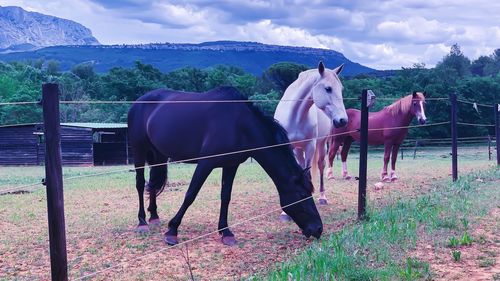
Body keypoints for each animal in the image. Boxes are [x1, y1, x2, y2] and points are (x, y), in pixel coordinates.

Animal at [129, 86, 322, 245]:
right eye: (302, 194)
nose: (318, 229)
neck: (239, 125)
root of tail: (138, 101)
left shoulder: (231, 165)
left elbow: (225, 196)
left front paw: (226, 232)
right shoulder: (206, 163)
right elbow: (190, 194)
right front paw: (172, 231)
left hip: (159, 154)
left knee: (152, 183)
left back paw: (154, 216)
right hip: (139, 149)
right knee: (140, 184)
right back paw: (142, 222)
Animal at [274, 61, 348, 212]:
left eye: (341, 89)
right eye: (328, 88)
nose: (343, 120)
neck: (295, 116)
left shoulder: (310, 146)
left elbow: (307, 173)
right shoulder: (288, 146)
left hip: (321, 145)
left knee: (320, 165)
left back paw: (322, 197)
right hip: (298, 149)